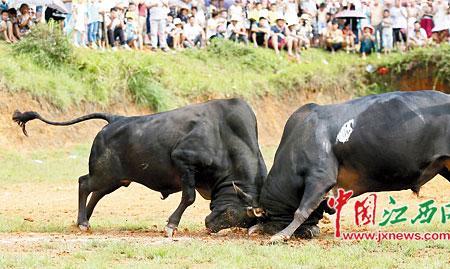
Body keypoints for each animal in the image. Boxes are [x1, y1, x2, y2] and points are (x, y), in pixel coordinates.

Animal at [13, 98, 268, 234]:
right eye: (231, 212)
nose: (209, 226)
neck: (227, 138)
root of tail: (116, 119)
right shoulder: (184, 162)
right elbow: (188, 197)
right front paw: (171, 226)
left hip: (115, 179)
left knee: (95, 193)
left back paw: (83, 218)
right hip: (103, 174)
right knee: (83, 183)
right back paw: (83, 221)